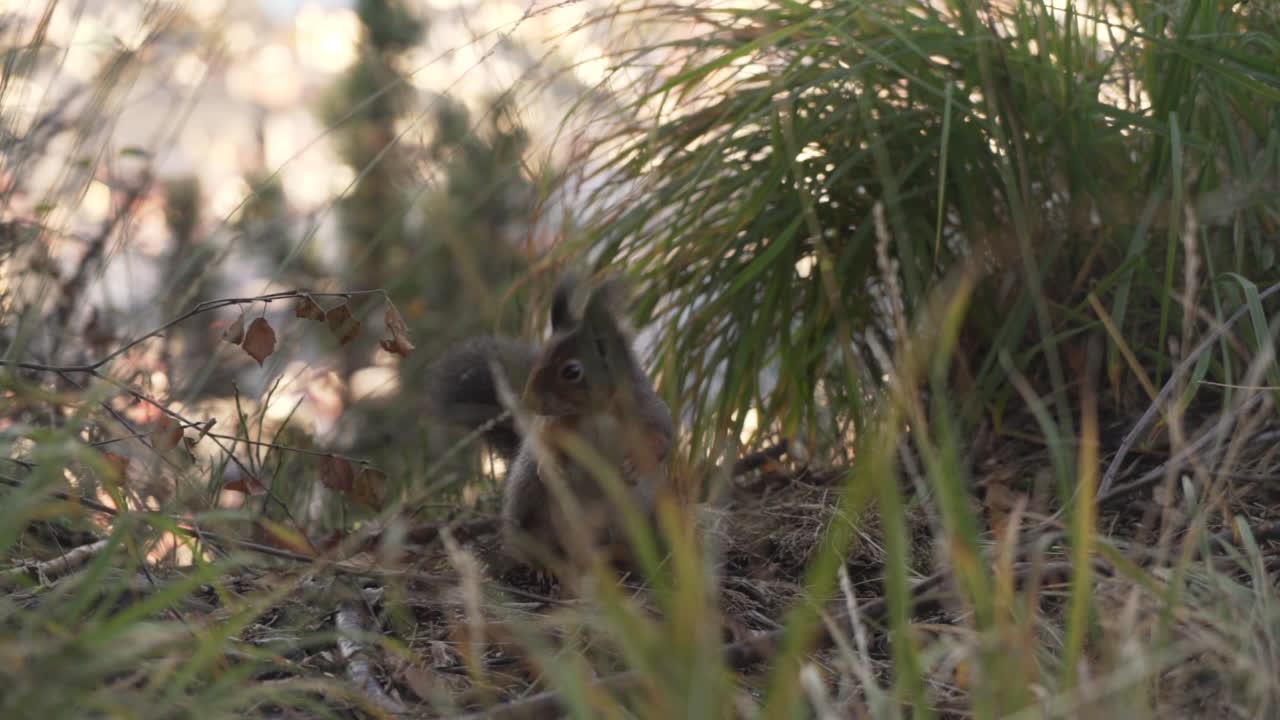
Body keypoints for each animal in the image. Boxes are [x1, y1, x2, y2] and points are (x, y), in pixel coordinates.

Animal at [426, 274, 675, 577]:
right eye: (541, 354)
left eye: (571, 371)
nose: (529, 401)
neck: (596, 411)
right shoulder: (555, 424)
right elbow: (544, 440)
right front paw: (551, 465)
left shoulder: (647, 409)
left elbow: (664, 439)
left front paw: (636, 464)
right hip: (532, 507)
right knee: (540, 545)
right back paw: (544, 568)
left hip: (634, 519)